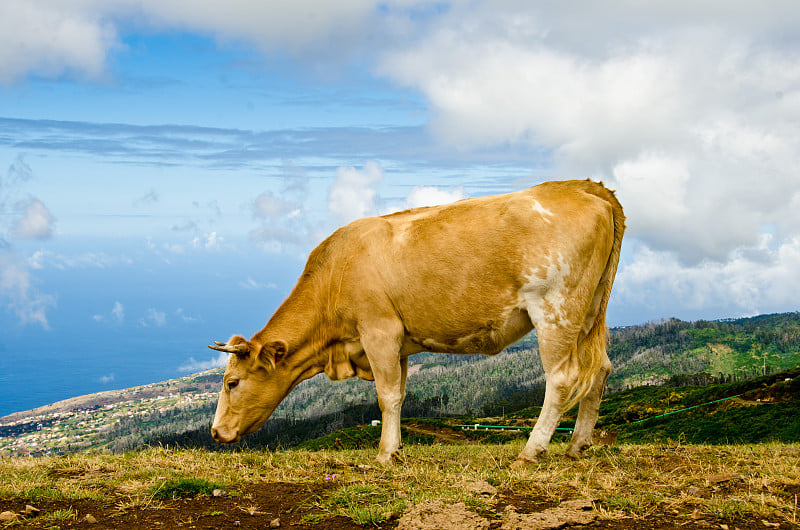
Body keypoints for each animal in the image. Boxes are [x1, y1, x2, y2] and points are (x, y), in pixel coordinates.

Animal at [211, 177, 624, 462]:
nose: (215, 432)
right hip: (590, 311)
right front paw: (395, 449)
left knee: (562, 378)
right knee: (601, 369)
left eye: (232, 382)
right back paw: (578, 445)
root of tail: (581, 187)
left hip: (555, 307)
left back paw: (531, 450)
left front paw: (384, 454)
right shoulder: (400, 344)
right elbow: (401, 393)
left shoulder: (379, 331)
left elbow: (386, 396)